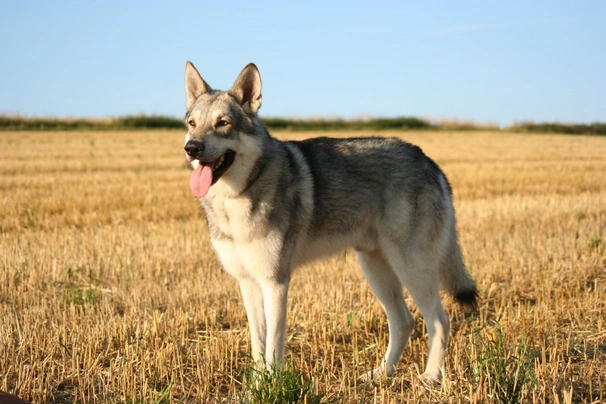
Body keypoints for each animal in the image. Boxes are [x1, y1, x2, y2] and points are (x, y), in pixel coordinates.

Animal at [183, 60, 478, 382]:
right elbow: (258, 347)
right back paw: (380, 374)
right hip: (376, 269)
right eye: (192, 124)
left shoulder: (276, 282)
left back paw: (430, 378)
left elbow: (273, 346)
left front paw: (273, 385)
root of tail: (429, 161)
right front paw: (256, 386)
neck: (235, 197)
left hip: (411, 268)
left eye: (223, 123)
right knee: (404, 322)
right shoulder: (248, 282)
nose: (192, 148)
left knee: (439, 320)